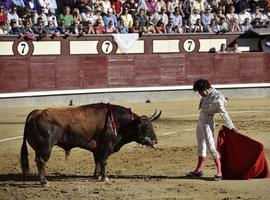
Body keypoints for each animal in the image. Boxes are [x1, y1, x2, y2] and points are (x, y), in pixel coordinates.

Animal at [21, 102, 161, 187]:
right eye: (146, 127)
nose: (155, 141)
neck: (118, 123)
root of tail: (36, 113)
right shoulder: (106, 147)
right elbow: (103, 162)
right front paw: (105, 177)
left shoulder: (98, 149)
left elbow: (97, 161)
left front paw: (97, 176)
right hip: (45, 148)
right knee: (41, 162)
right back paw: (44, 182)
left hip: (39, 149)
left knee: (38, 161)